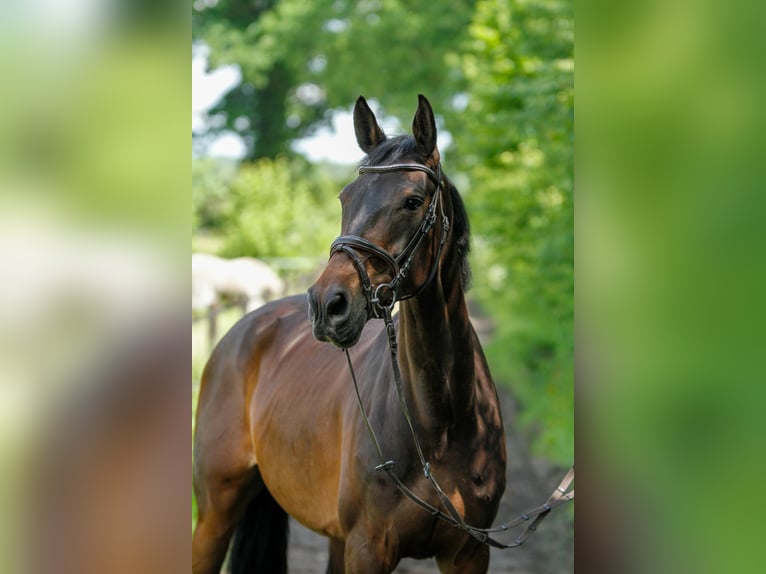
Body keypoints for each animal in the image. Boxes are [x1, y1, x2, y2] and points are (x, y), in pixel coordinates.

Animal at [192, 95, 507, 573]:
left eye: (413, 201)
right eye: (345, 198)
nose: (326, 304)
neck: (439, 423)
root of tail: (246, 327)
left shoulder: (470, 552)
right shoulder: (368, 548)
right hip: (214, 516)